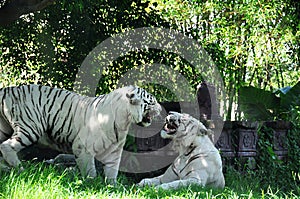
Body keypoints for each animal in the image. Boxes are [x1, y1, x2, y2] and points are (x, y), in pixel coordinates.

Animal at [0, 84, 162, 183]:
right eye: (152, 102)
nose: (161, 110)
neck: (125, 120)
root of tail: (8, 89)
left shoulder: (114, 151)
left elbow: (112, 170)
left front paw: (113, 186)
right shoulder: (82, 147)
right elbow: (90, 169)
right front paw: (91, 183)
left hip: (4, 129)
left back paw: (6, 168)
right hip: (31, 127)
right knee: (6, 146)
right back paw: (19, 168)